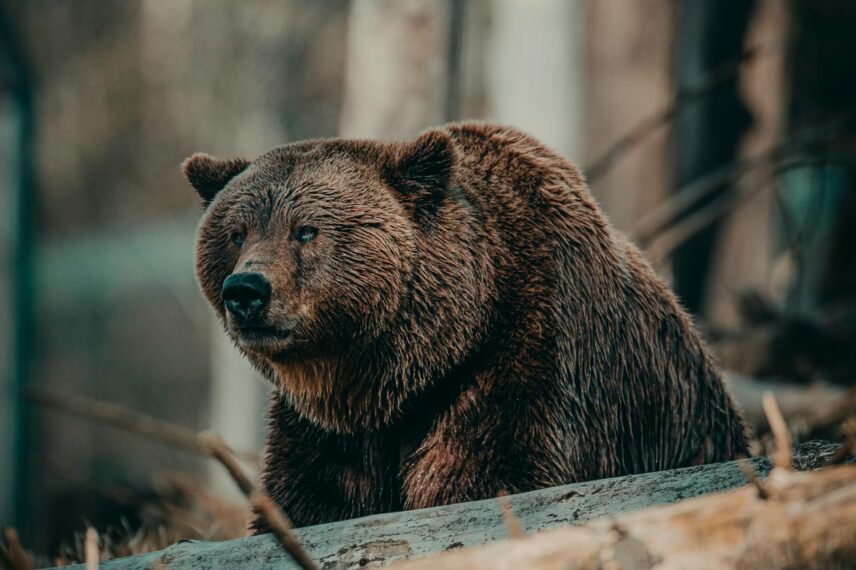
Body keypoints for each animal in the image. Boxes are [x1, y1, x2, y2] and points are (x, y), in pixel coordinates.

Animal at [182, 122, 747, 529]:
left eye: (306, 230)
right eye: (236, 232)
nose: (246, 291)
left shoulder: (529, 358)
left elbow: (489, 475)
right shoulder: (327, 432)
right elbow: (308, 499)